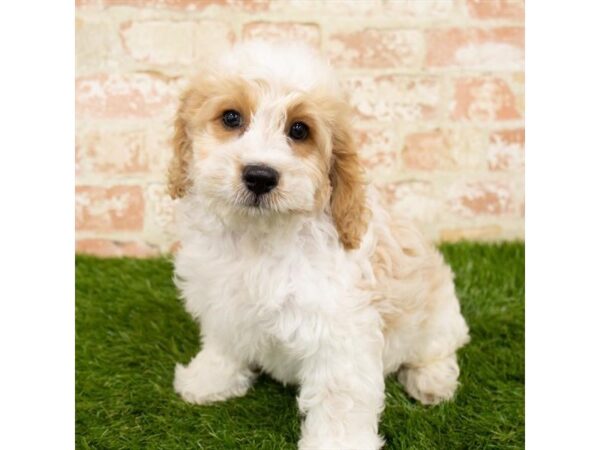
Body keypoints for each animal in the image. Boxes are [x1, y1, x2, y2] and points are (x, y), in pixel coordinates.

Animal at [168, 40, 468, 448]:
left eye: (299, 130)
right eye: (231, 118)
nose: (259, 176)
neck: (259, 236)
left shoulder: (339, 331)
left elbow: (340, 396)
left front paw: (339, 443)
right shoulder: (222, 299)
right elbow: (224, 345)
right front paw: (209, 381)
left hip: (437, 316)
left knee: (438, 349)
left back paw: (432, 382)